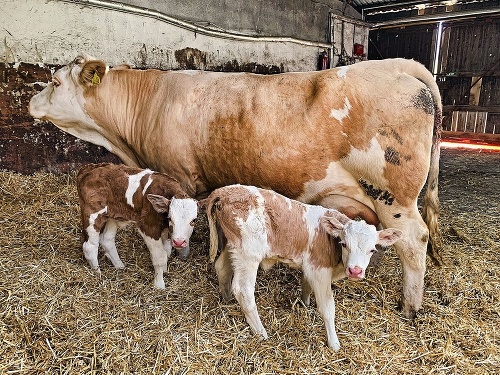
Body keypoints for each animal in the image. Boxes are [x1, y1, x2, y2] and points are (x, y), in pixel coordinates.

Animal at [28, 54, 442, 318]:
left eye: (54, 81)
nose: (30, 101)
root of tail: (395, 65)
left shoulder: (177, 175)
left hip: (394, 195)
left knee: (414, 240)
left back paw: (410, 306)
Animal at [203, 187, 402, 352]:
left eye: (372, 249)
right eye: (344, 244)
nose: (355, 271)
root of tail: (224, 192)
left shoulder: (310, 266)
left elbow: (306, 284)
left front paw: (304, 303)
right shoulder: (320, 269)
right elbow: (327, 307)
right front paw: (334, 343)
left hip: (232, 246)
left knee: (221, 268)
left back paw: (227, 298)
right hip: (248, 253)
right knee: (243, 290)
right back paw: (260, 332)